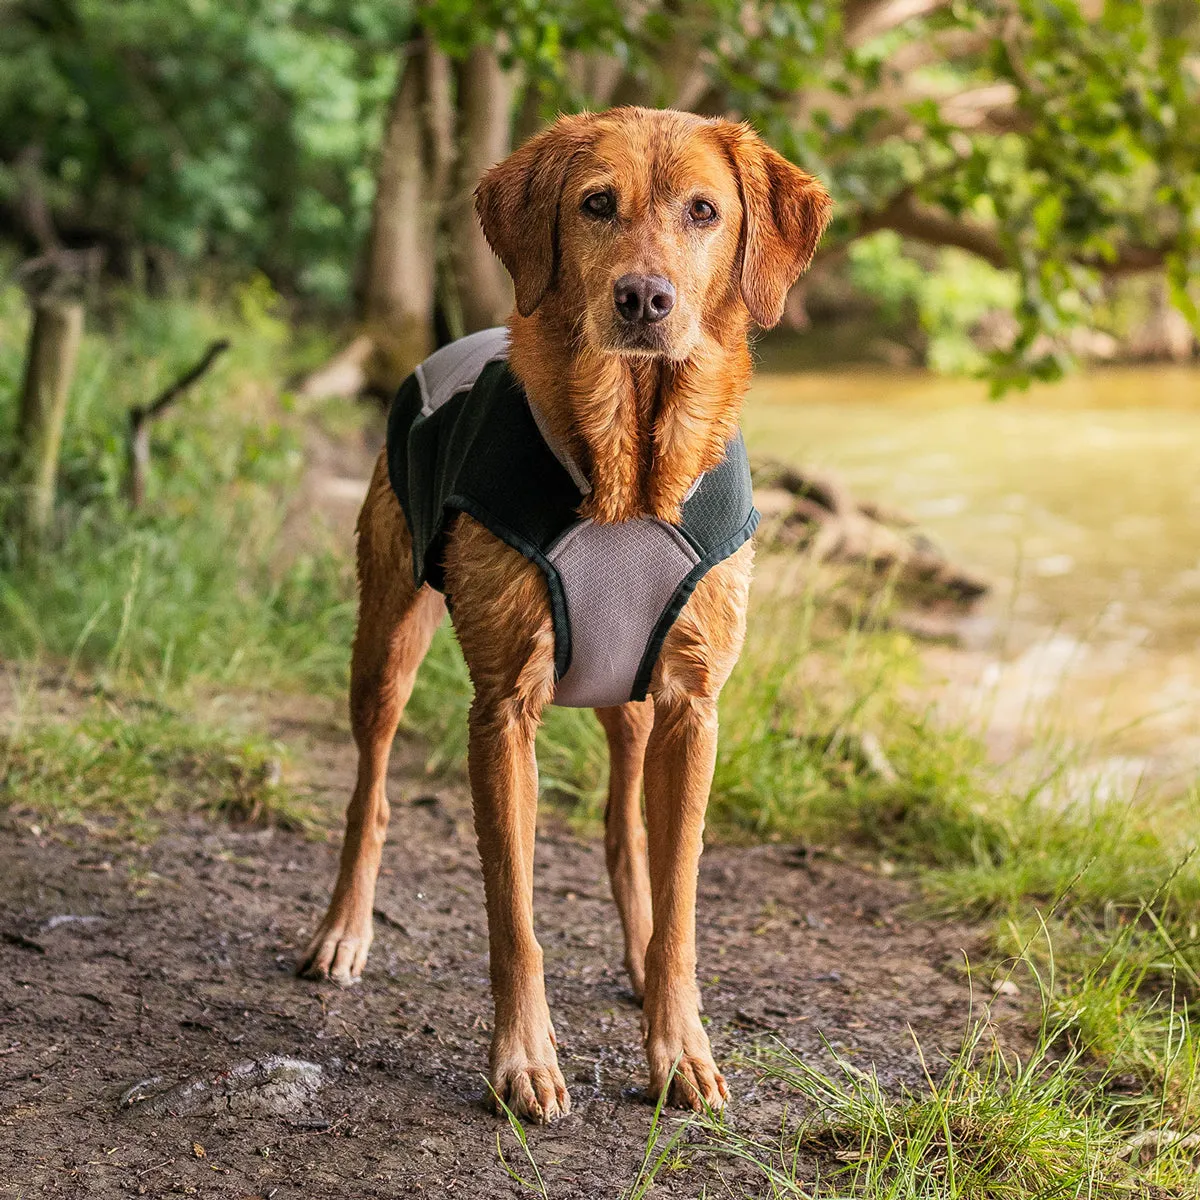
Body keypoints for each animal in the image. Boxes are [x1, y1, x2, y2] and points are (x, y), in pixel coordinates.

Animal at [297, 105, 835, 1123]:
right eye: (596, 204)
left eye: (704, 210)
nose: (644, 299)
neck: (628, 471)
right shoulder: (503, 707)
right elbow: (514, 913)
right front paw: (523, 1061)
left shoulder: (693, 705)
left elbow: (680, 906)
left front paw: (680, 1049)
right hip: (386, 635)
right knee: (370, 791)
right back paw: (342, 931)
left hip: (634, 697)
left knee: (628, 835)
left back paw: (633, 955)